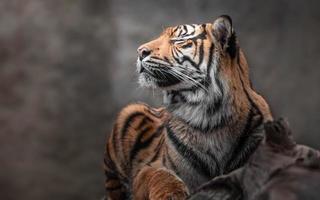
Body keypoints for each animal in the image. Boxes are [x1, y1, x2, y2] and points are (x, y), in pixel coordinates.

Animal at [104, 14, 272, 199]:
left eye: (178, 40)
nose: (140, 51)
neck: (212, 117)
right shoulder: (149, 168)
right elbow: (161, 175)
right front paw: (171, 194)